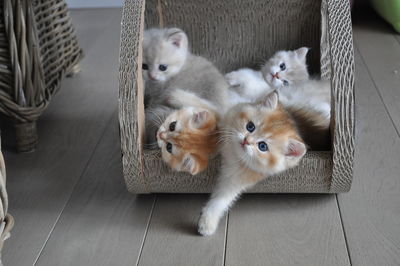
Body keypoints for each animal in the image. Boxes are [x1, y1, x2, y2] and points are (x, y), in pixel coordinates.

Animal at [198, 92, 306, 236]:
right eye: (250, 126)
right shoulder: (226, 121)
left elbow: (221, 200)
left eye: (262, 146)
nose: (246, 141)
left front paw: (207, 222)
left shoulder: (235, 181)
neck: (234, 155)